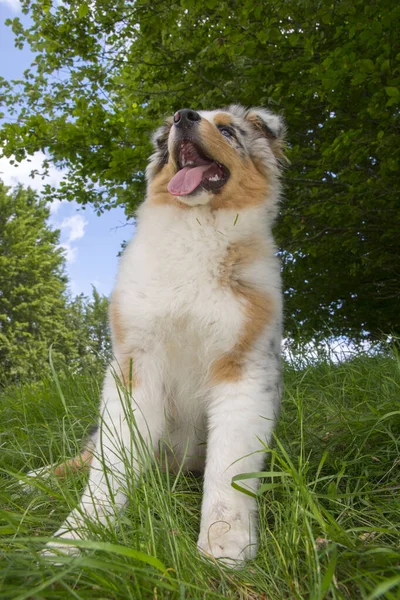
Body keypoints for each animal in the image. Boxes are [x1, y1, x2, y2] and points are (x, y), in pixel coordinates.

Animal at [36, 104, 284, 568]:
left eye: (227, 130)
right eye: (173, 125)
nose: (183, 116)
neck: (198, 228)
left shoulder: (242, 369)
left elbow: (228, 470)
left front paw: (223, 546)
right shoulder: (137, 365)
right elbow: (109, 469)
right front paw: (77, 538)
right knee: (86, 456)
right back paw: (32, 478)